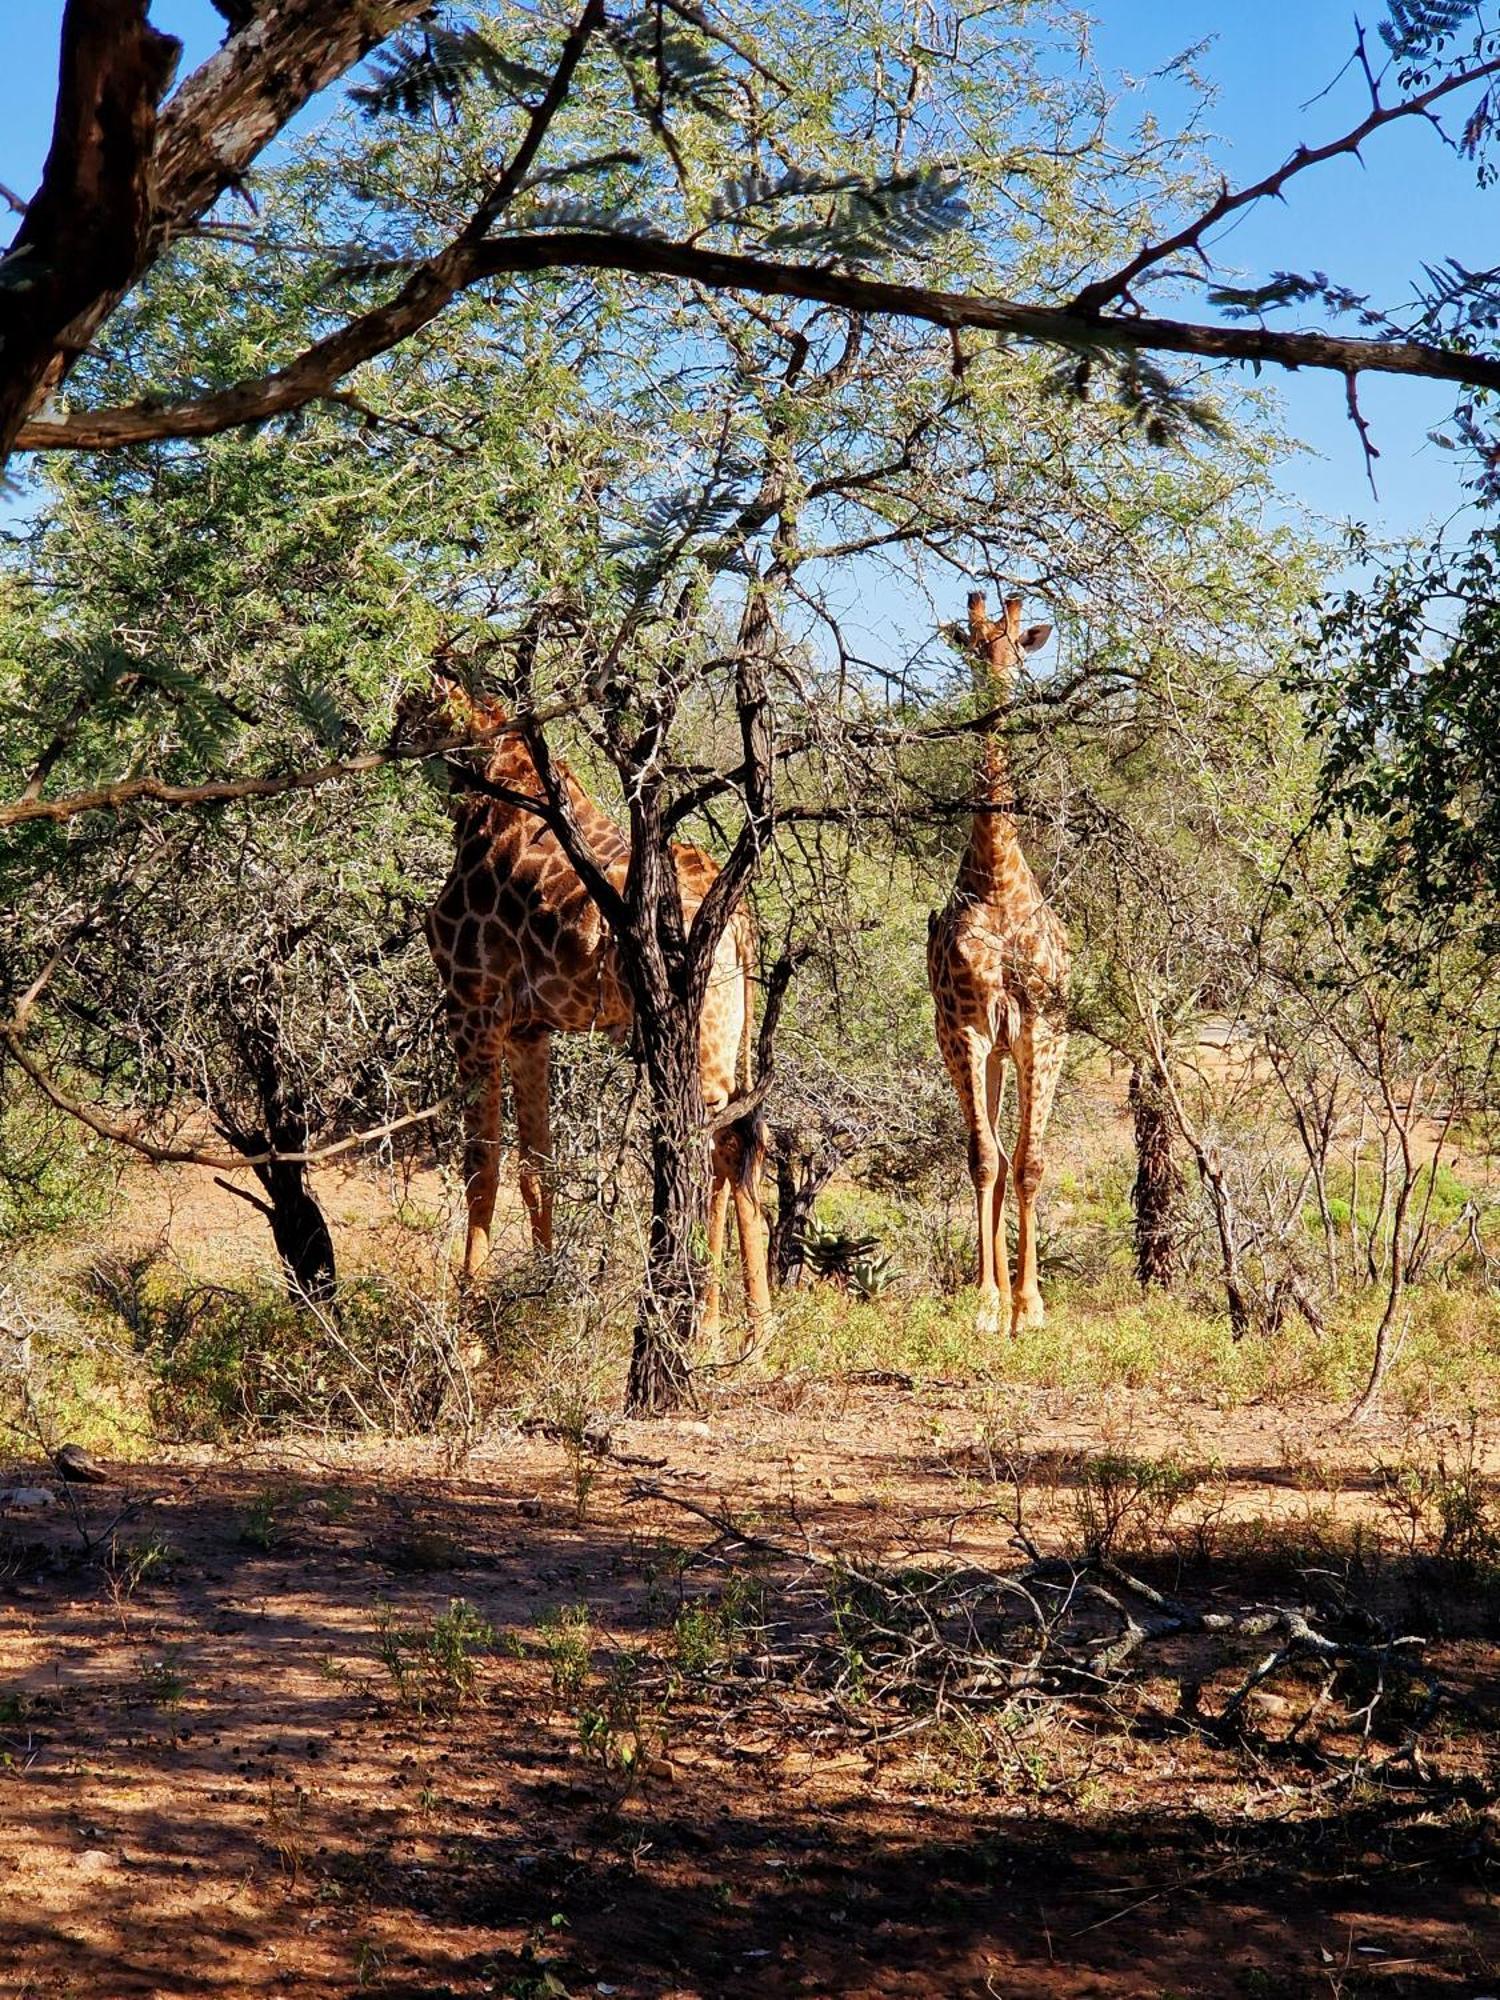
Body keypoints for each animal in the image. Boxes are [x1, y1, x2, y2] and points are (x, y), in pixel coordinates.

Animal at [400, 680, 776, 1352]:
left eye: (413, 701)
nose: (389, 734)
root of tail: (741, 922)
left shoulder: (472, 1009)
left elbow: (480, 1167)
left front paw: (467, 1328)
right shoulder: (529, 1029)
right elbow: (537, 1164)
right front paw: (544, 1290)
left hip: (701, 1039)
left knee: (711, 1149)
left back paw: (703, 1327)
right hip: (727, 1037)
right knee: (741, 1144)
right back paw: (754, 1328)